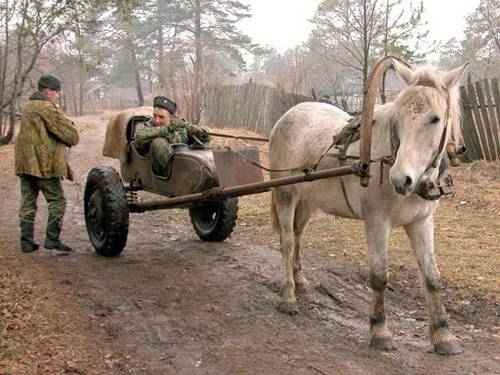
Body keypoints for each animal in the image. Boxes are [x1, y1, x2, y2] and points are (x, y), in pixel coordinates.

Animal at [270, 61, 468, 356]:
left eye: (435, 119)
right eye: (398, 117)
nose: (400, 178)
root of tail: (288, 115)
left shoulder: (421, 222)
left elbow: (432, 276)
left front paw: (443, 335)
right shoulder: (377, 222)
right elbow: (378, 276)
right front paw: (379, 330)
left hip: (307, 199)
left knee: (297, 235)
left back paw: (300, 280)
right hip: (285, 193)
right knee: (286, 241)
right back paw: (287, 295)